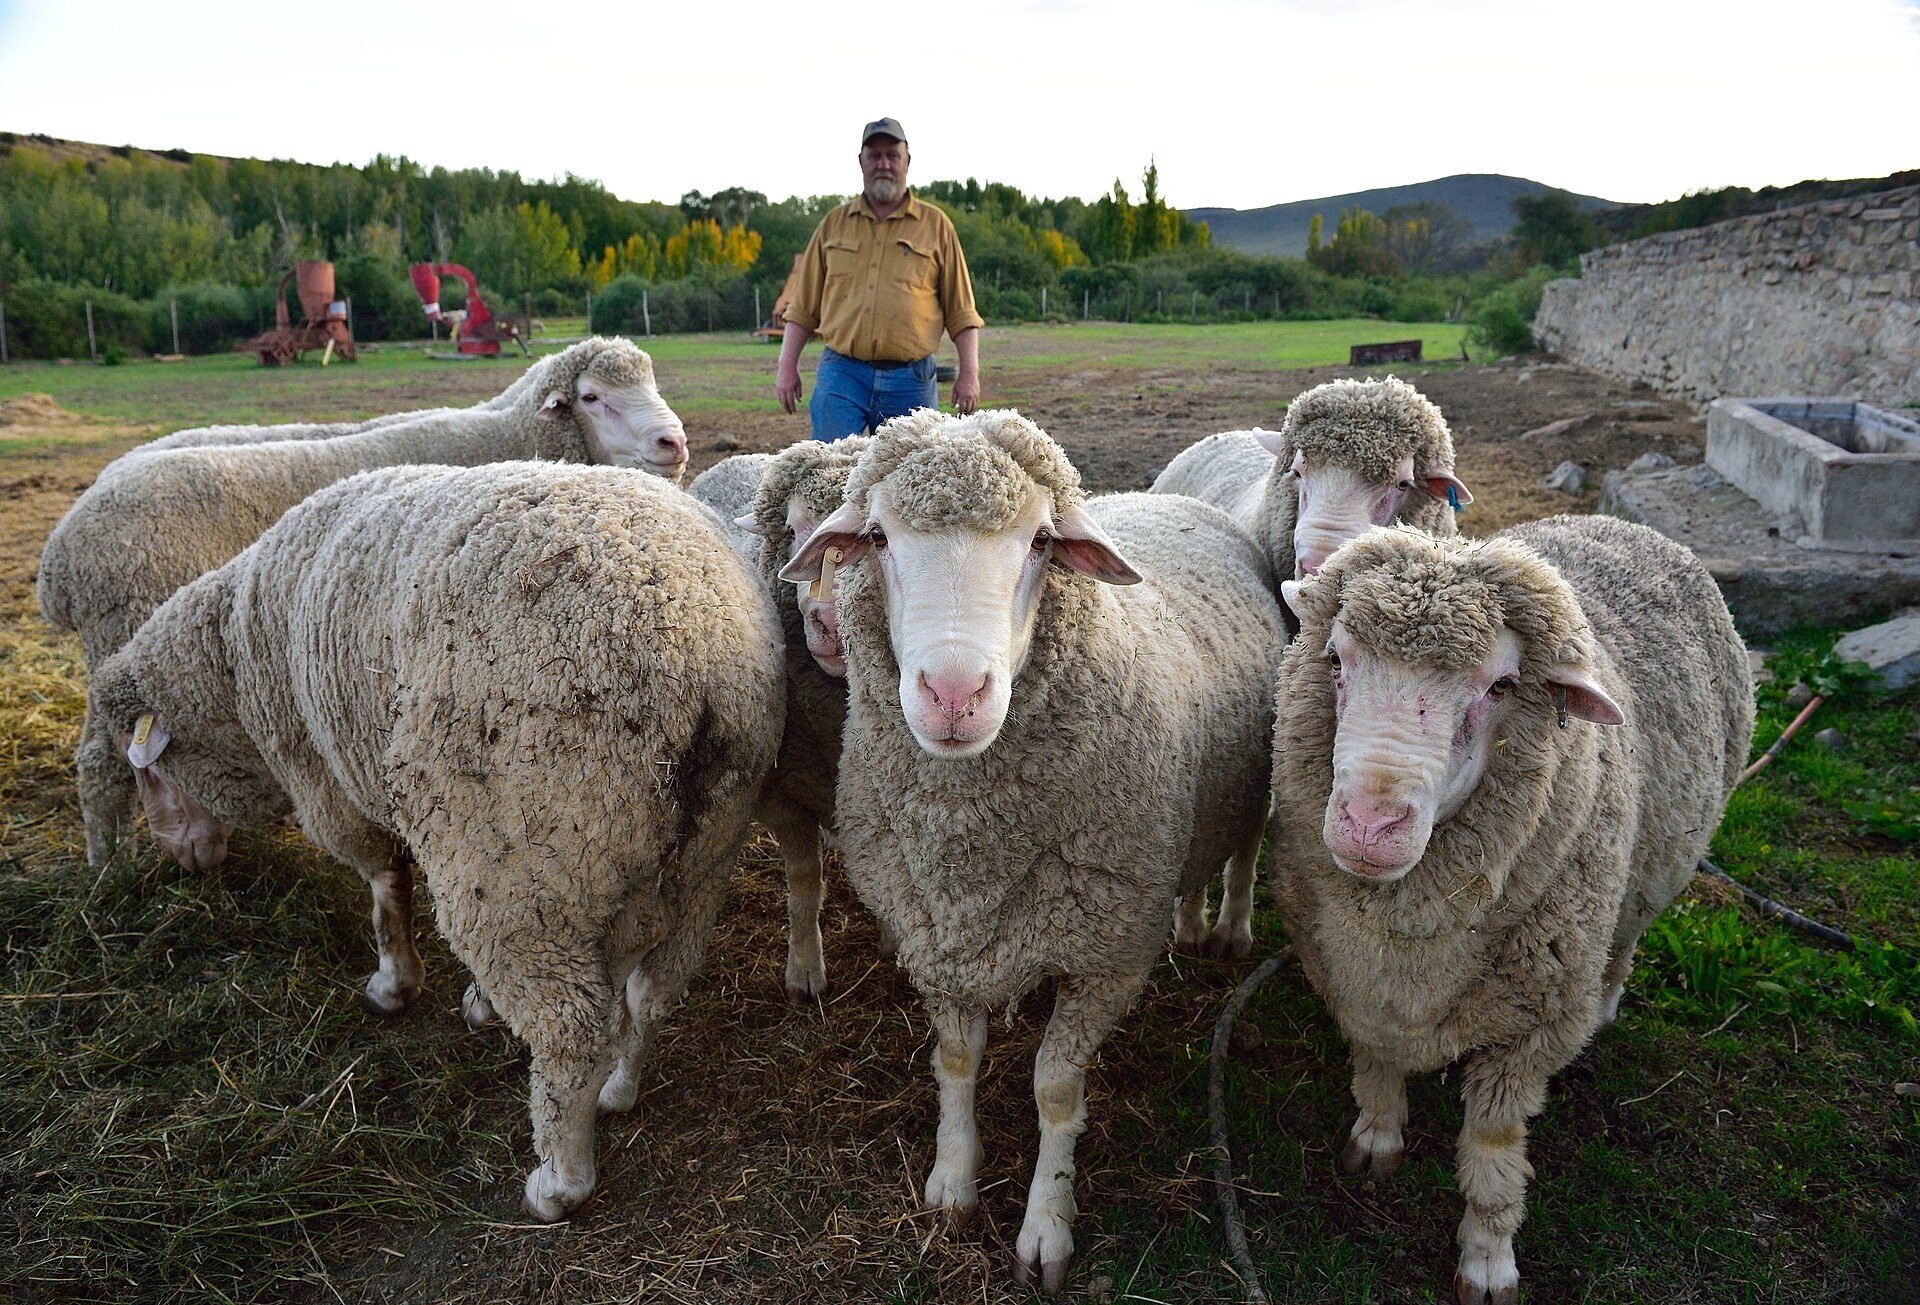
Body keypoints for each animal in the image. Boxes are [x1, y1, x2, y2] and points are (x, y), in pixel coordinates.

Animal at [39, 336, 690, 865]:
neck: (504, 431)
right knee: (100, 760)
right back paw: (109, 867)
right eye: (592, 396)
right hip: (125, 627)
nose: (675, 442)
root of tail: (58, 562)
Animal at [86, 459, 784, 1222]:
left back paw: (559, 1179)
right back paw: (618, 1090)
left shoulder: (332, 778)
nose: (183, 860)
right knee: (652, 990)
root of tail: (705, 647)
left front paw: (394, 983)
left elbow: (384, 887)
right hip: (686, 851)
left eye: (144, 767)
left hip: (524, 853)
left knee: (571, 1029)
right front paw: (474, 998)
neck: (236, 666)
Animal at [779, 409, 1287, 1289]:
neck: (972, 847)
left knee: (1244, 846)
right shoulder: (937, 936)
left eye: (1043, 542)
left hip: (1249, 782)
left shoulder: (1107, 953)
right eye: (876, 535)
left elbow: (1054, 1090)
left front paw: (1046, 1225)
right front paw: (952, 1182)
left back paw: (1227, 927)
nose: (953, 693)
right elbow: (954, 1058)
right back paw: (1190, 920)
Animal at [1268, 514, 1755, 1304]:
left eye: (1501, 685)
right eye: (1335, 658)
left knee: (1626, 938)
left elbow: (1493, 1151)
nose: (1370, 825)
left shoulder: (1529, 1031)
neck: (1409, 937)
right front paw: (1377, 1136)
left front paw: (1488, 1258)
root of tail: (1621, 522)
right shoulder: (1356, 978)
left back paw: (1608, 1001)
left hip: (1645, 883)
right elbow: (1375, 1063)